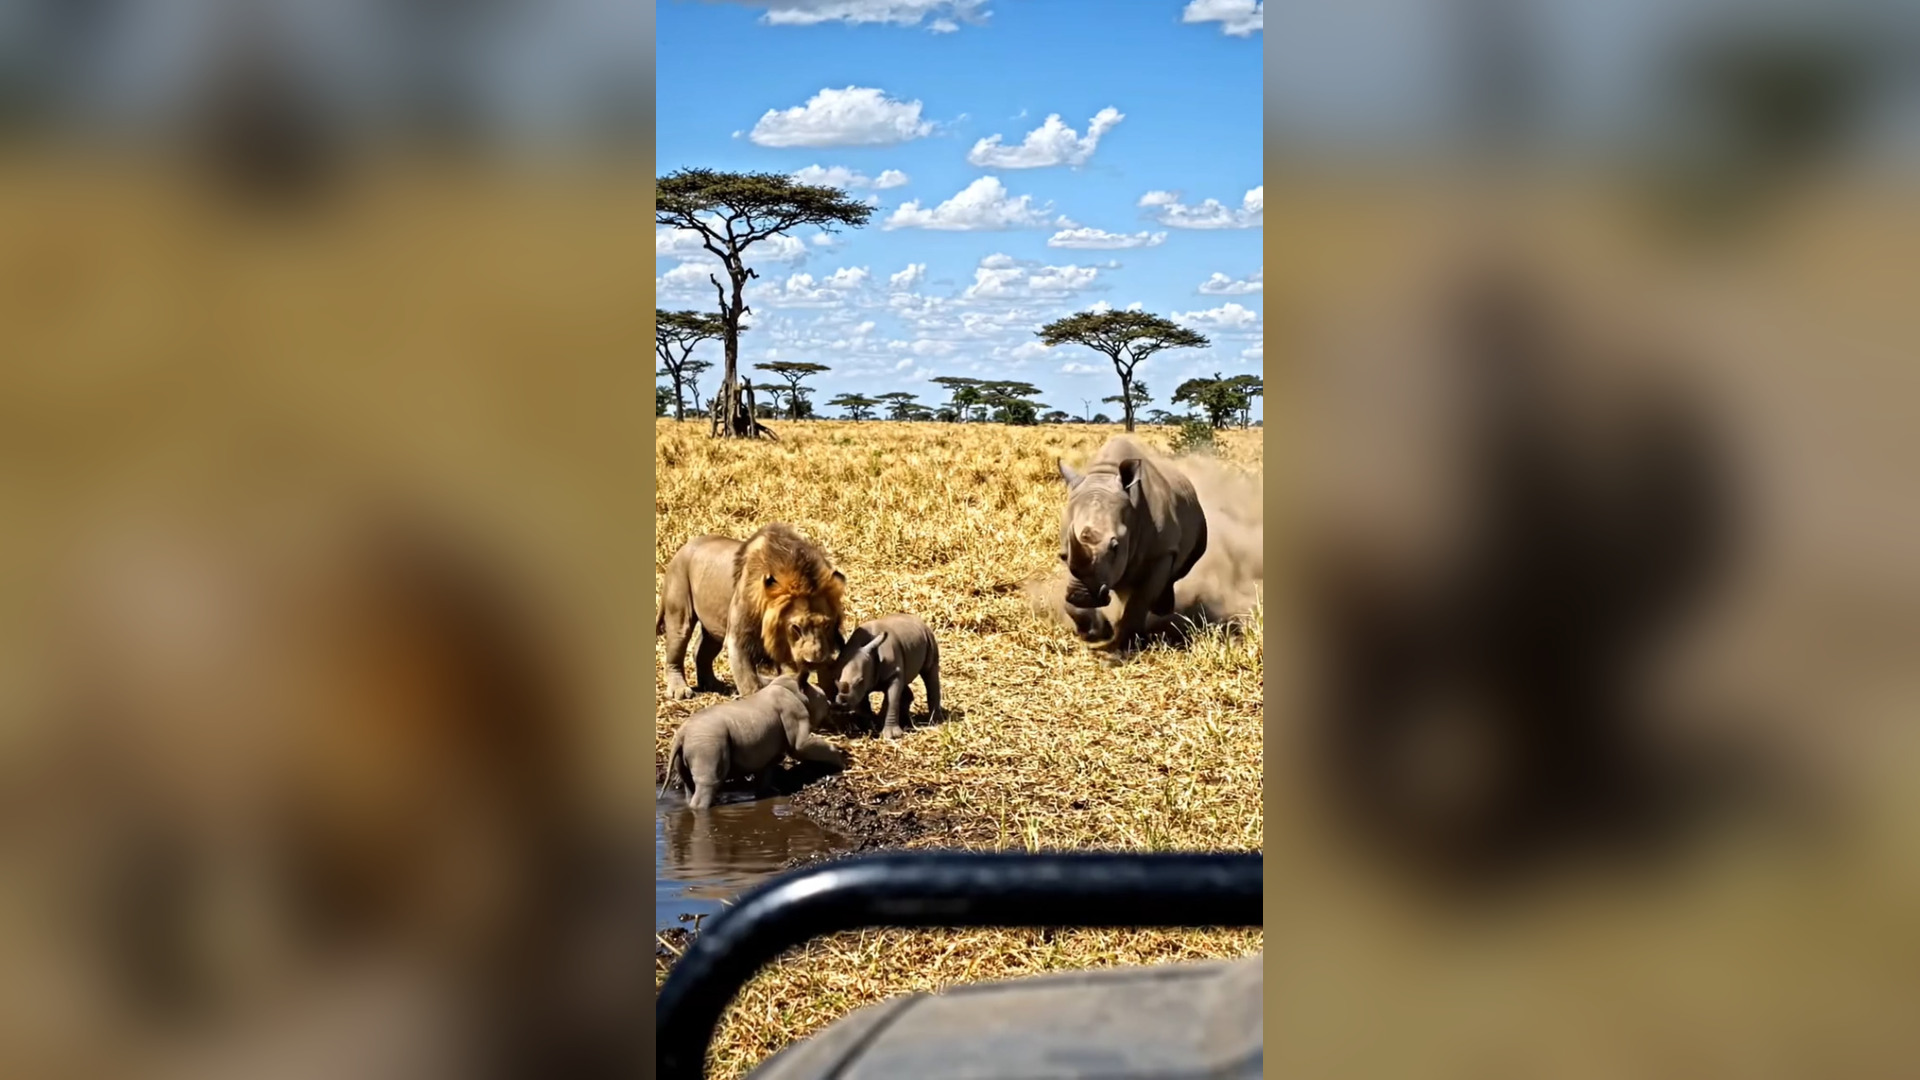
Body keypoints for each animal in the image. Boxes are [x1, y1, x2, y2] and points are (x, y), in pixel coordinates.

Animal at [657, 523, 846, 699]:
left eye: (827, 625)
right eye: (796, 628)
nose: (814, 662)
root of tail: (682, 548)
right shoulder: (738, 638)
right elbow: (749, 683)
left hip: (715, 624)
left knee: (701, 652)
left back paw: (714, 684)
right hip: (680, 608)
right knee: (676, 649)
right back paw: (680, 690)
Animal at [1057, 436, 1209, 652]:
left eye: (1115, 547)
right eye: (1062, 555)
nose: (1081, 595)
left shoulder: (1162, 552)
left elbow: (1140, 599)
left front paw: (1125, 645)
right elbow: (1070, 599)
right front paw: (1097, 632)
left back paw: (1161, 612)